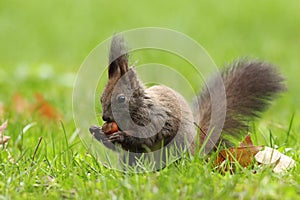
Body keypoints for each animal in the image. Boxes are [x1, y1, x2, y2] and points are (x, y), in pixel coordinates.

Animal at [89, 35, 286, 158]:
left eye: (121, 98)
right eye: (101, 98)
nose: (105, 117)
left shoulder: (156, 118)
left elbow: (146, 137)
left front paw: (120, 136)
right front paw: (96, 131)